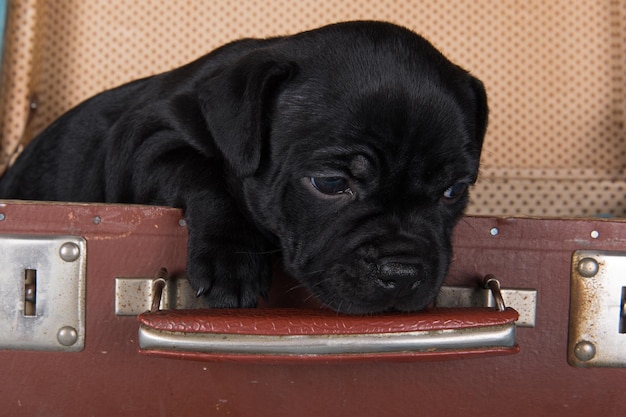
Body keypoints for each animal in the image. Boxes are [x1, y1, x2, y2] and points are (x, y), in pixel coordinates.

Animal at [0, 19, 486, 312]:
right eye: (331, 183)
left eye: (454, 191)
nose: (403, 272)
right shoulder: (148, 144)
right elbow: (206, 175)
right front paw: (232, 258)